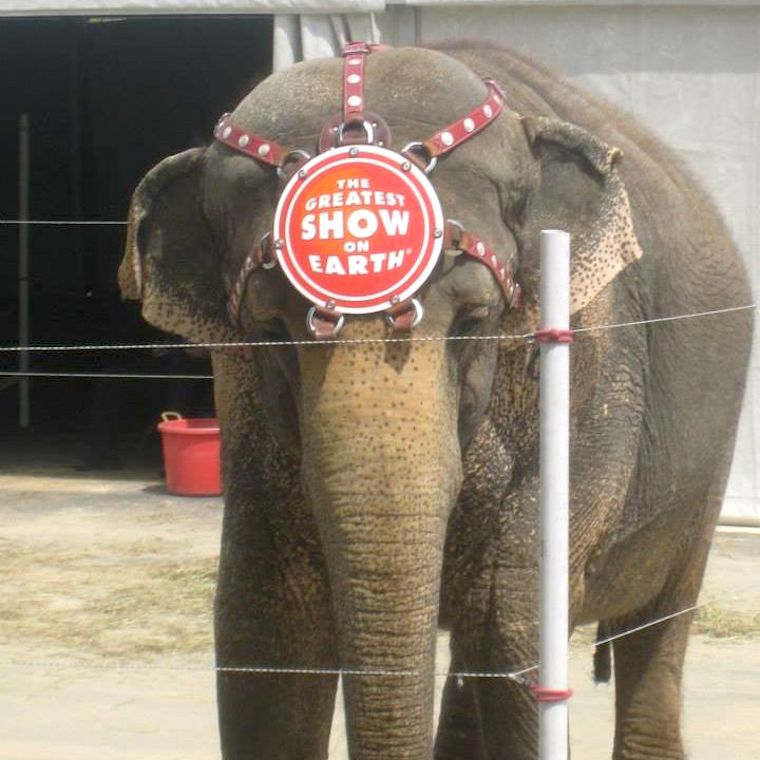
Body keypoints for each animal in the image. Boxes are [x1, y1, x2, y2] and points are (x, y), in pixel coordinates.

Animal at [118, 43, 752, 759]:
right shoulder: (244, 399)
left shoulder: (590, 370)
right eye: (271, 330)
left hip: (708, 458)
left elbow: (513, 616)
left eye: (475, 320)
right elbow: (266, 632)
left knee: (656, 625)